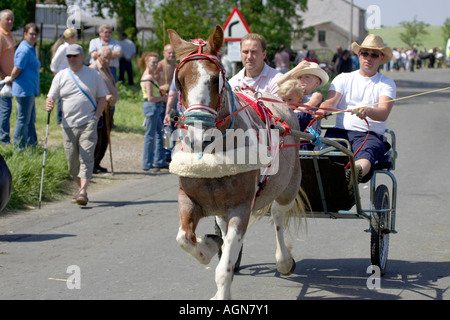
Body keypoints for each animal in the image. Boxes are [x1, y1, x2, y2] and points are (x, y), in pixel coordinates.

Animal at [169, 25, 306, 300]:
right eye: (179, 81)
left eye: (215, 79)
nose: (197, 137)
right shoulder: (188, 200)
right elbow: (185, 239)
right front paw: (209, 246)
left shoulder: (240, 208)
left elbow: (224, 267)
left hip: (288, 187)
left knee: (278, 217)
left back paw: (284, 261)